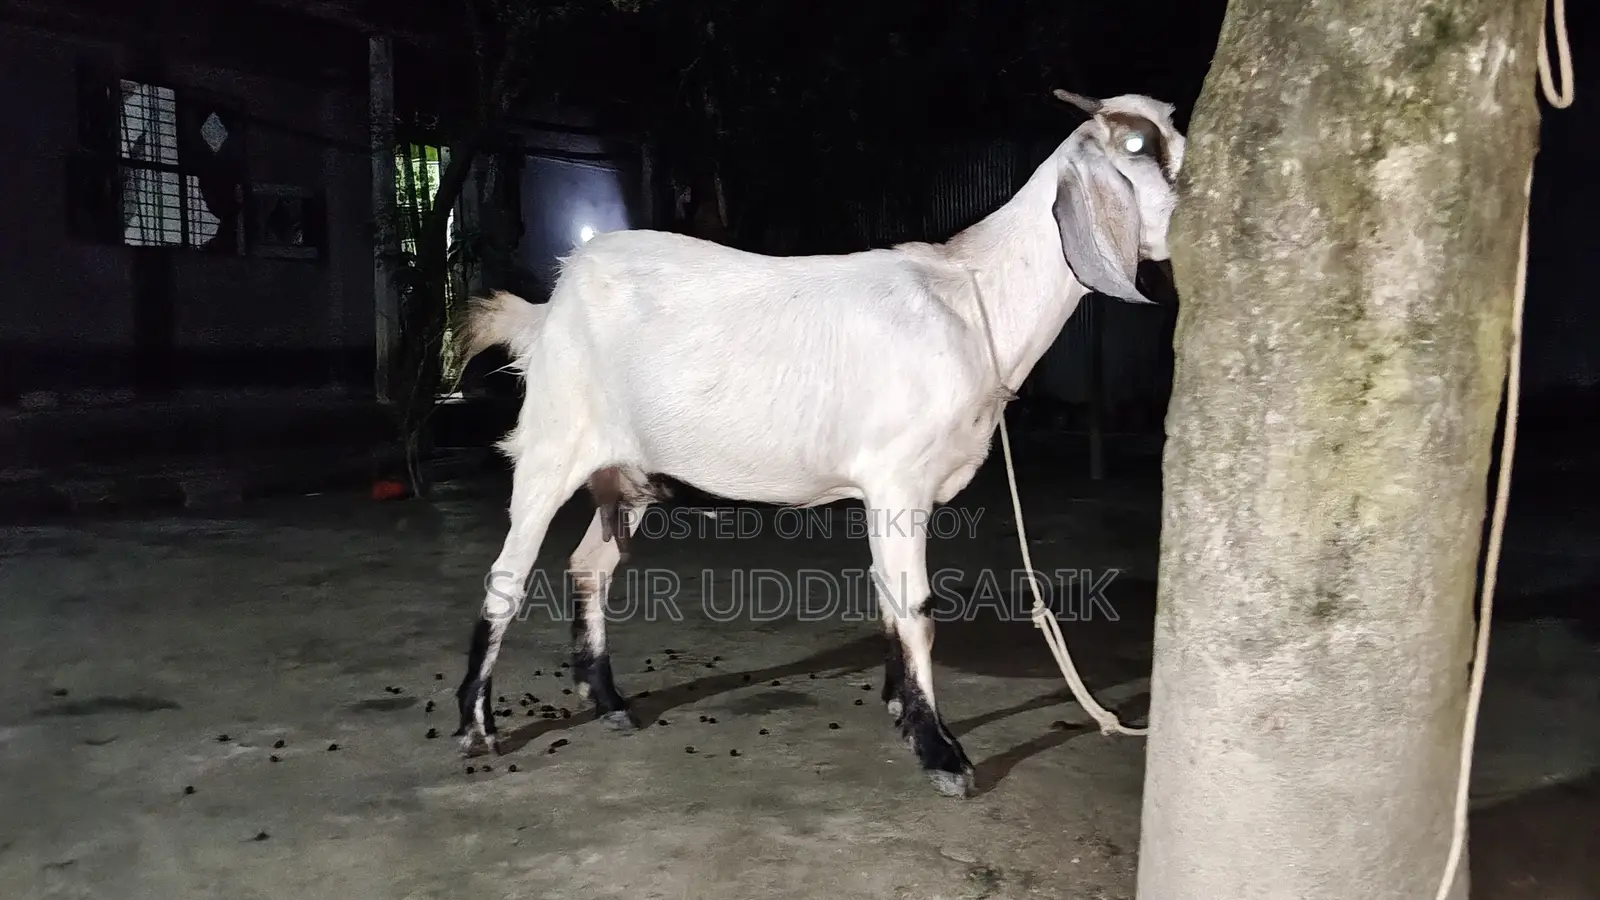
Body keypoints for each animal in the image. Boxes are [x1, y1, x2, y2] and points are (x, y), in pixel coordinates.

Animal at [452, 90, 1185, 798]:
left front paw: (901, 710)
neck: (972, 299)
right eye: (1137, 146)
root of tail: (548, 308)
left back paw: (605, 700)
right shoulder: (897, 478)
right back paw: (475, 724)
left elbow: (891, 597)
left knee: (589, 567)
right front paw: (939, 750)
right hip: (552, 444)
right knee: (507, 576)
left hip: (629, 474)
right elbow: (915, 608)